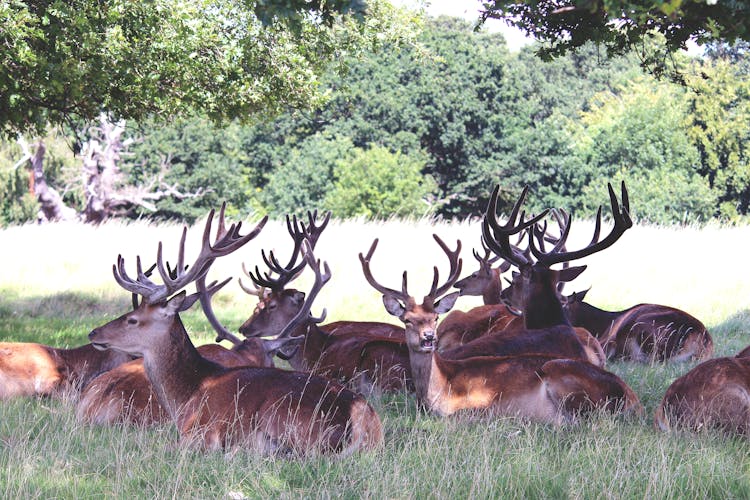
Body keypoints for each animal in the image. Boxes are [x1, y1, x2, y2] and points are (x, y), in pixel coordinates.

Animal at [86, 207, 384, 454]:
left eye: (133, 319)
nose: (94, 333)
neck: (186, 396)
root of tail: (361, 417)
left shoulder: (198, 432)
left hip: (285, 420)